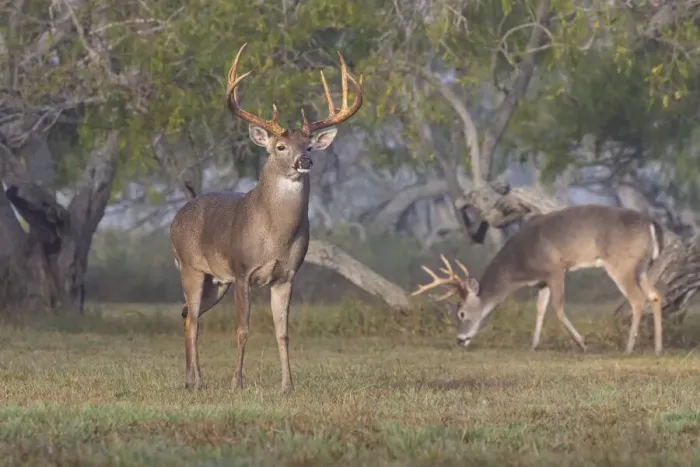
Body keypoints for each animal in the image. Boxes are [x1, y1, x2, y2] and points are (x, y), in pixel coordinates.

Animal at [169, 43, 363, 392]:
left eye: (309, 145)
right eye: (280, 146)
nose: (305, 161)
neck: (274, 236)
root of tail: (175, 220)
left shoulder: (286, 275)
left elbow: (283, 333)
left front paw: (288, 385)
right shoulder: (241, 270)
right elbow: (242, 329)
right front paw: (237, 382)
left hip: (216, 282)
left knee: (189, 316)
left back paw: (192, 379)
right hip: (191, 268)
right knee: (192, 320)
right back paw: (196, 381)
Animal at [412, 204, 666, 356]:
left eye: (462, 312)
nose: (460, 339)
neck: (520, 266)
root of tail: (652, 224)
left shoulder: (556, 269)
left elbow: (558, 307)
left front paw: (582, 343)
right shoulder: (542, 280)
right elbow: (540, 308)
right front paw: (533, 344)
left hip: (621, 264)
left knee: (637, 299)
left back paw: (629, 348)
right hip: (642, 267)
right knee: (655, 295)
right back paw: (657, 347)